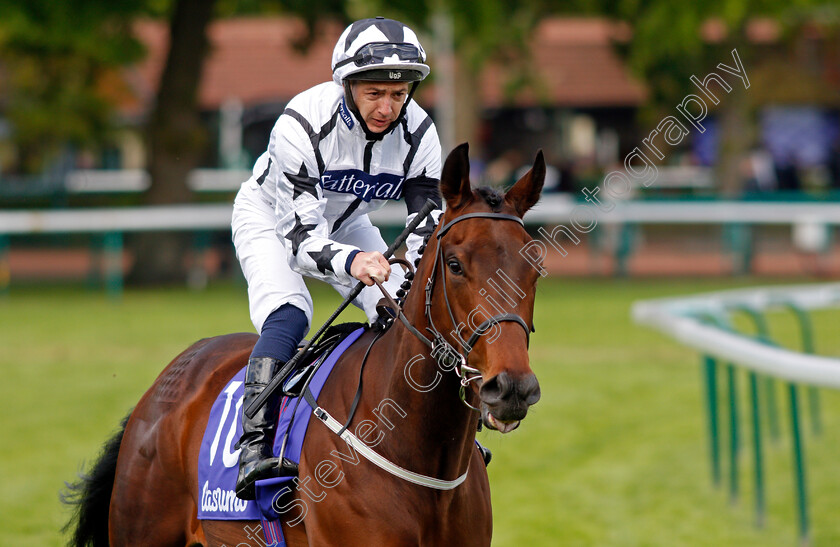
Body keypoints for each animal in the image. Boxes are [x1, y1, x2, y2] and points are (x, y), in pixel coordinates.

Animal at [65, 143, 544, 544]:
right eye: (455, 264)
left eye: (535, 265)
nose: (512, 388)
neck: (419, 453)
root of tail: (164, 385)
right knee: (287, 308)